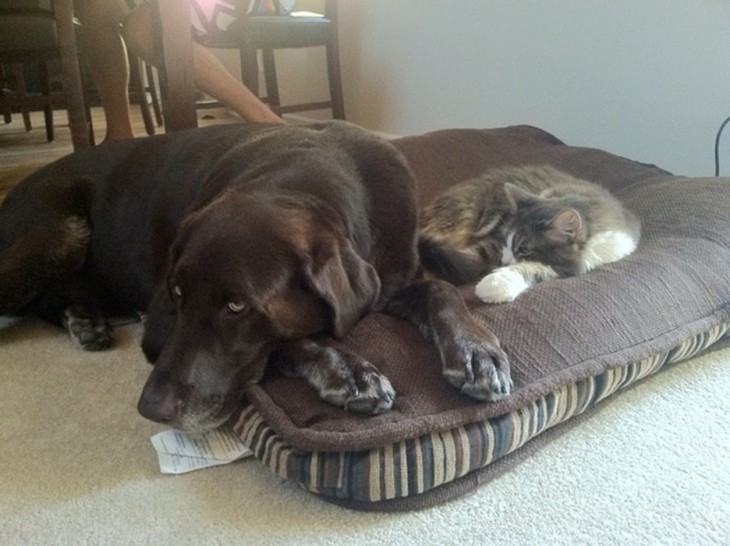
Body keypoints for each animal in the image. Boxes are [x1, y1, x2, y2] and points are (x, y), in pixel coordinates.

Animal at [418, 165, 640, 302]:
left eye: (524, 249)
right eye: (507, 241)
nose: (504, 260)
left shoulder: (575, 266)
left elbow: (535, 269)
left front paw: (493, 284)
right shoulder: (494, 238)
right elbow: (473, 259)